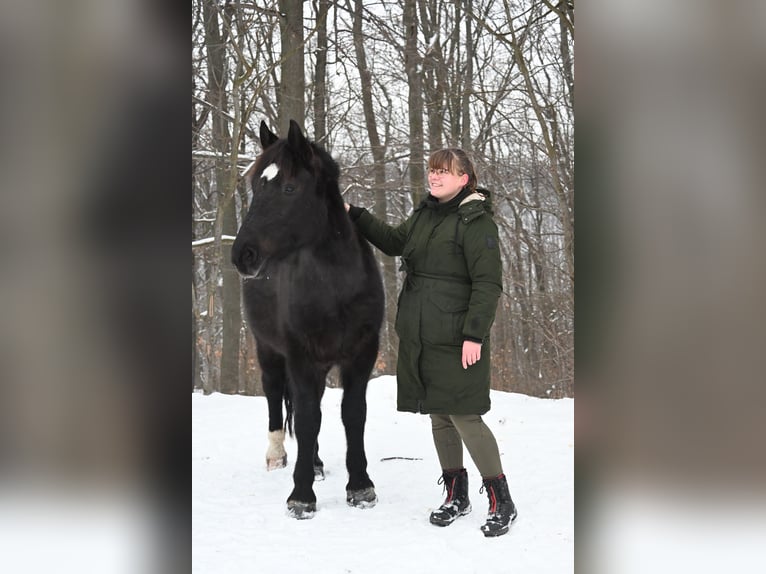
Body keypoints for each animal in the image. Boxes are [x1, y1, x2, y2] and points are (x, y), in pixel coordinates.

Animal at [230, 119, 384, 519]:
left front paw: (360, 486)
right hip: (269, 351)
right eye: (255, 187)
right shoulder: (300, 357)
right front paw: (301, 495)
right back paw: (278, 456)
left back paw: (314, 463)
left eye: (289, 187)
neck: (335, 291)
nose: (243, 255)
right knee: (277, 397)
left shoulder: (361, 355)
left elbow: (352, 414)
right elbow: (307, 418)